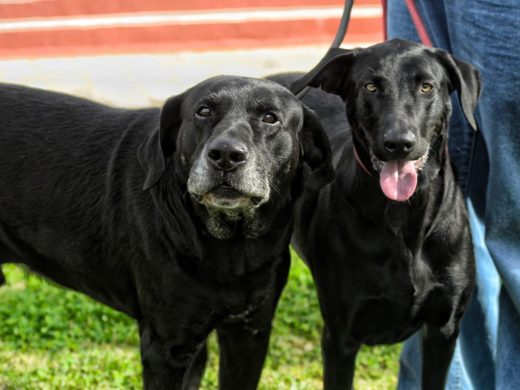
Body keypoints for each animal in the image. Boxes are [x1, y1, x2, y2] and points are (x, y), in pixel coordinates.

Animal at [0, 77, 334, 390]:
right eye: (203, 111)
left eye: (270, 118)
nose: (225, 154)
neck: (229, 248)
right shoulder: (167, 348)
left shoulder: (248, 334)